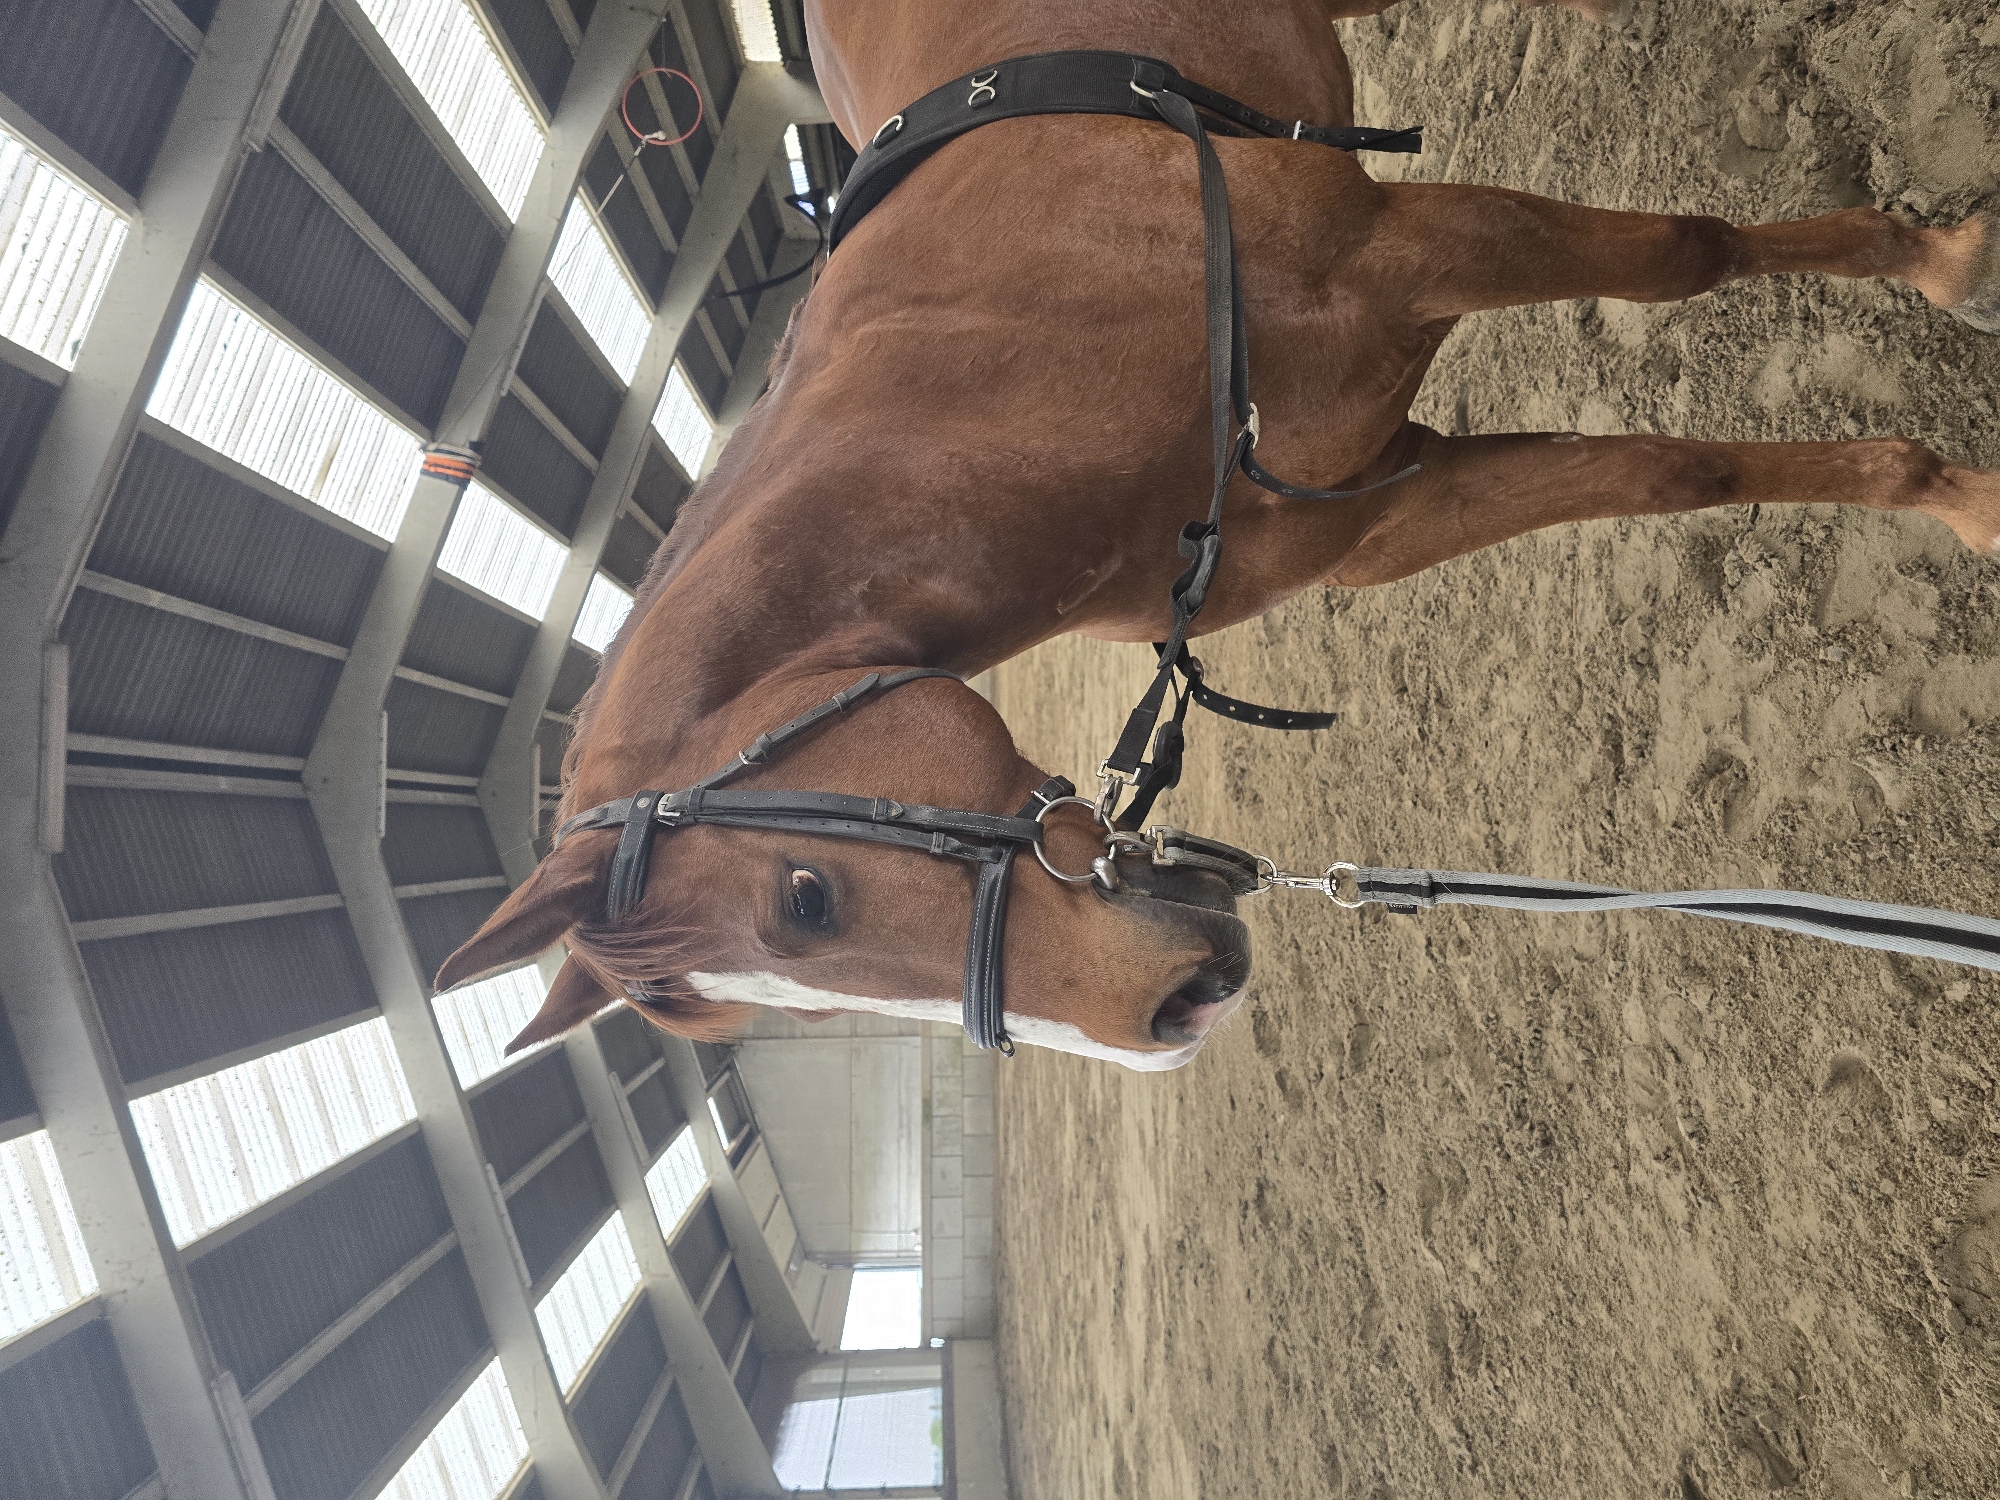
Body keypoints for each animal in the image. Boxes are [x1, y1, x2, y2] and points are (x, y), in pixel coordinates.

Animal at [434, 0, 2000, 1071]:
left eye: (804, 899)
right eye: (790, 1016)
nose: (1171, 1015)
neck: (1009, 370)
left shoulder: (1419, 250)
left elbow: (1689, 254)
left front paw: (1945, 279)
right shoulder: (1388, 505)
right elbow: (1680, 474)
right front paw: (1940, 485)